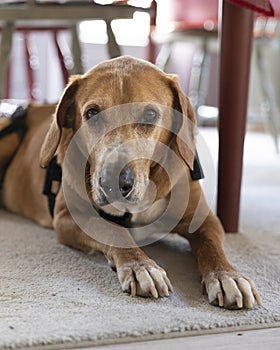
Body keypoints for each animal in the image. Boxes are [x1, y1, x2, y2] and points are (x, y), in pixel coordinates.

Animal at [0, 55, 262, 308]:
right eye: (92, 113)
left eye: (150, 114)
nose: (111, 183)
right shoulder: (67, 218)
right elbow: (113, 229)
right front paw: (141, 266)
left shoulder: (205, 219)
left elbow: (212, 246)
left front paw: (227, 276)